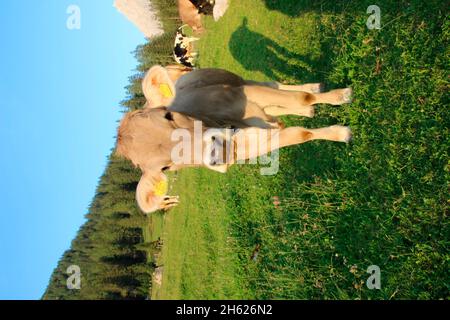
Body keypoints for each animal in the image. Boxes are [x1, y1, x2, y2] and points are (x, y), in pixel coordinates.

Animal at [117, 66, 356, 214]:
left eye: (169, 115)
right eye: (166, 168)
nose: (215, 152)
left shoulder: (246, 93)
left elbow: (300, 98)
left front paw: (342, 96)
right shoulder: (262, 142)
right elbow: (301, 134)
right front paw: (339, 132)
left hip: (241, 81)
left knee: (275, 85)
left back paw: (314, 89)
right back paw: (306, 111)